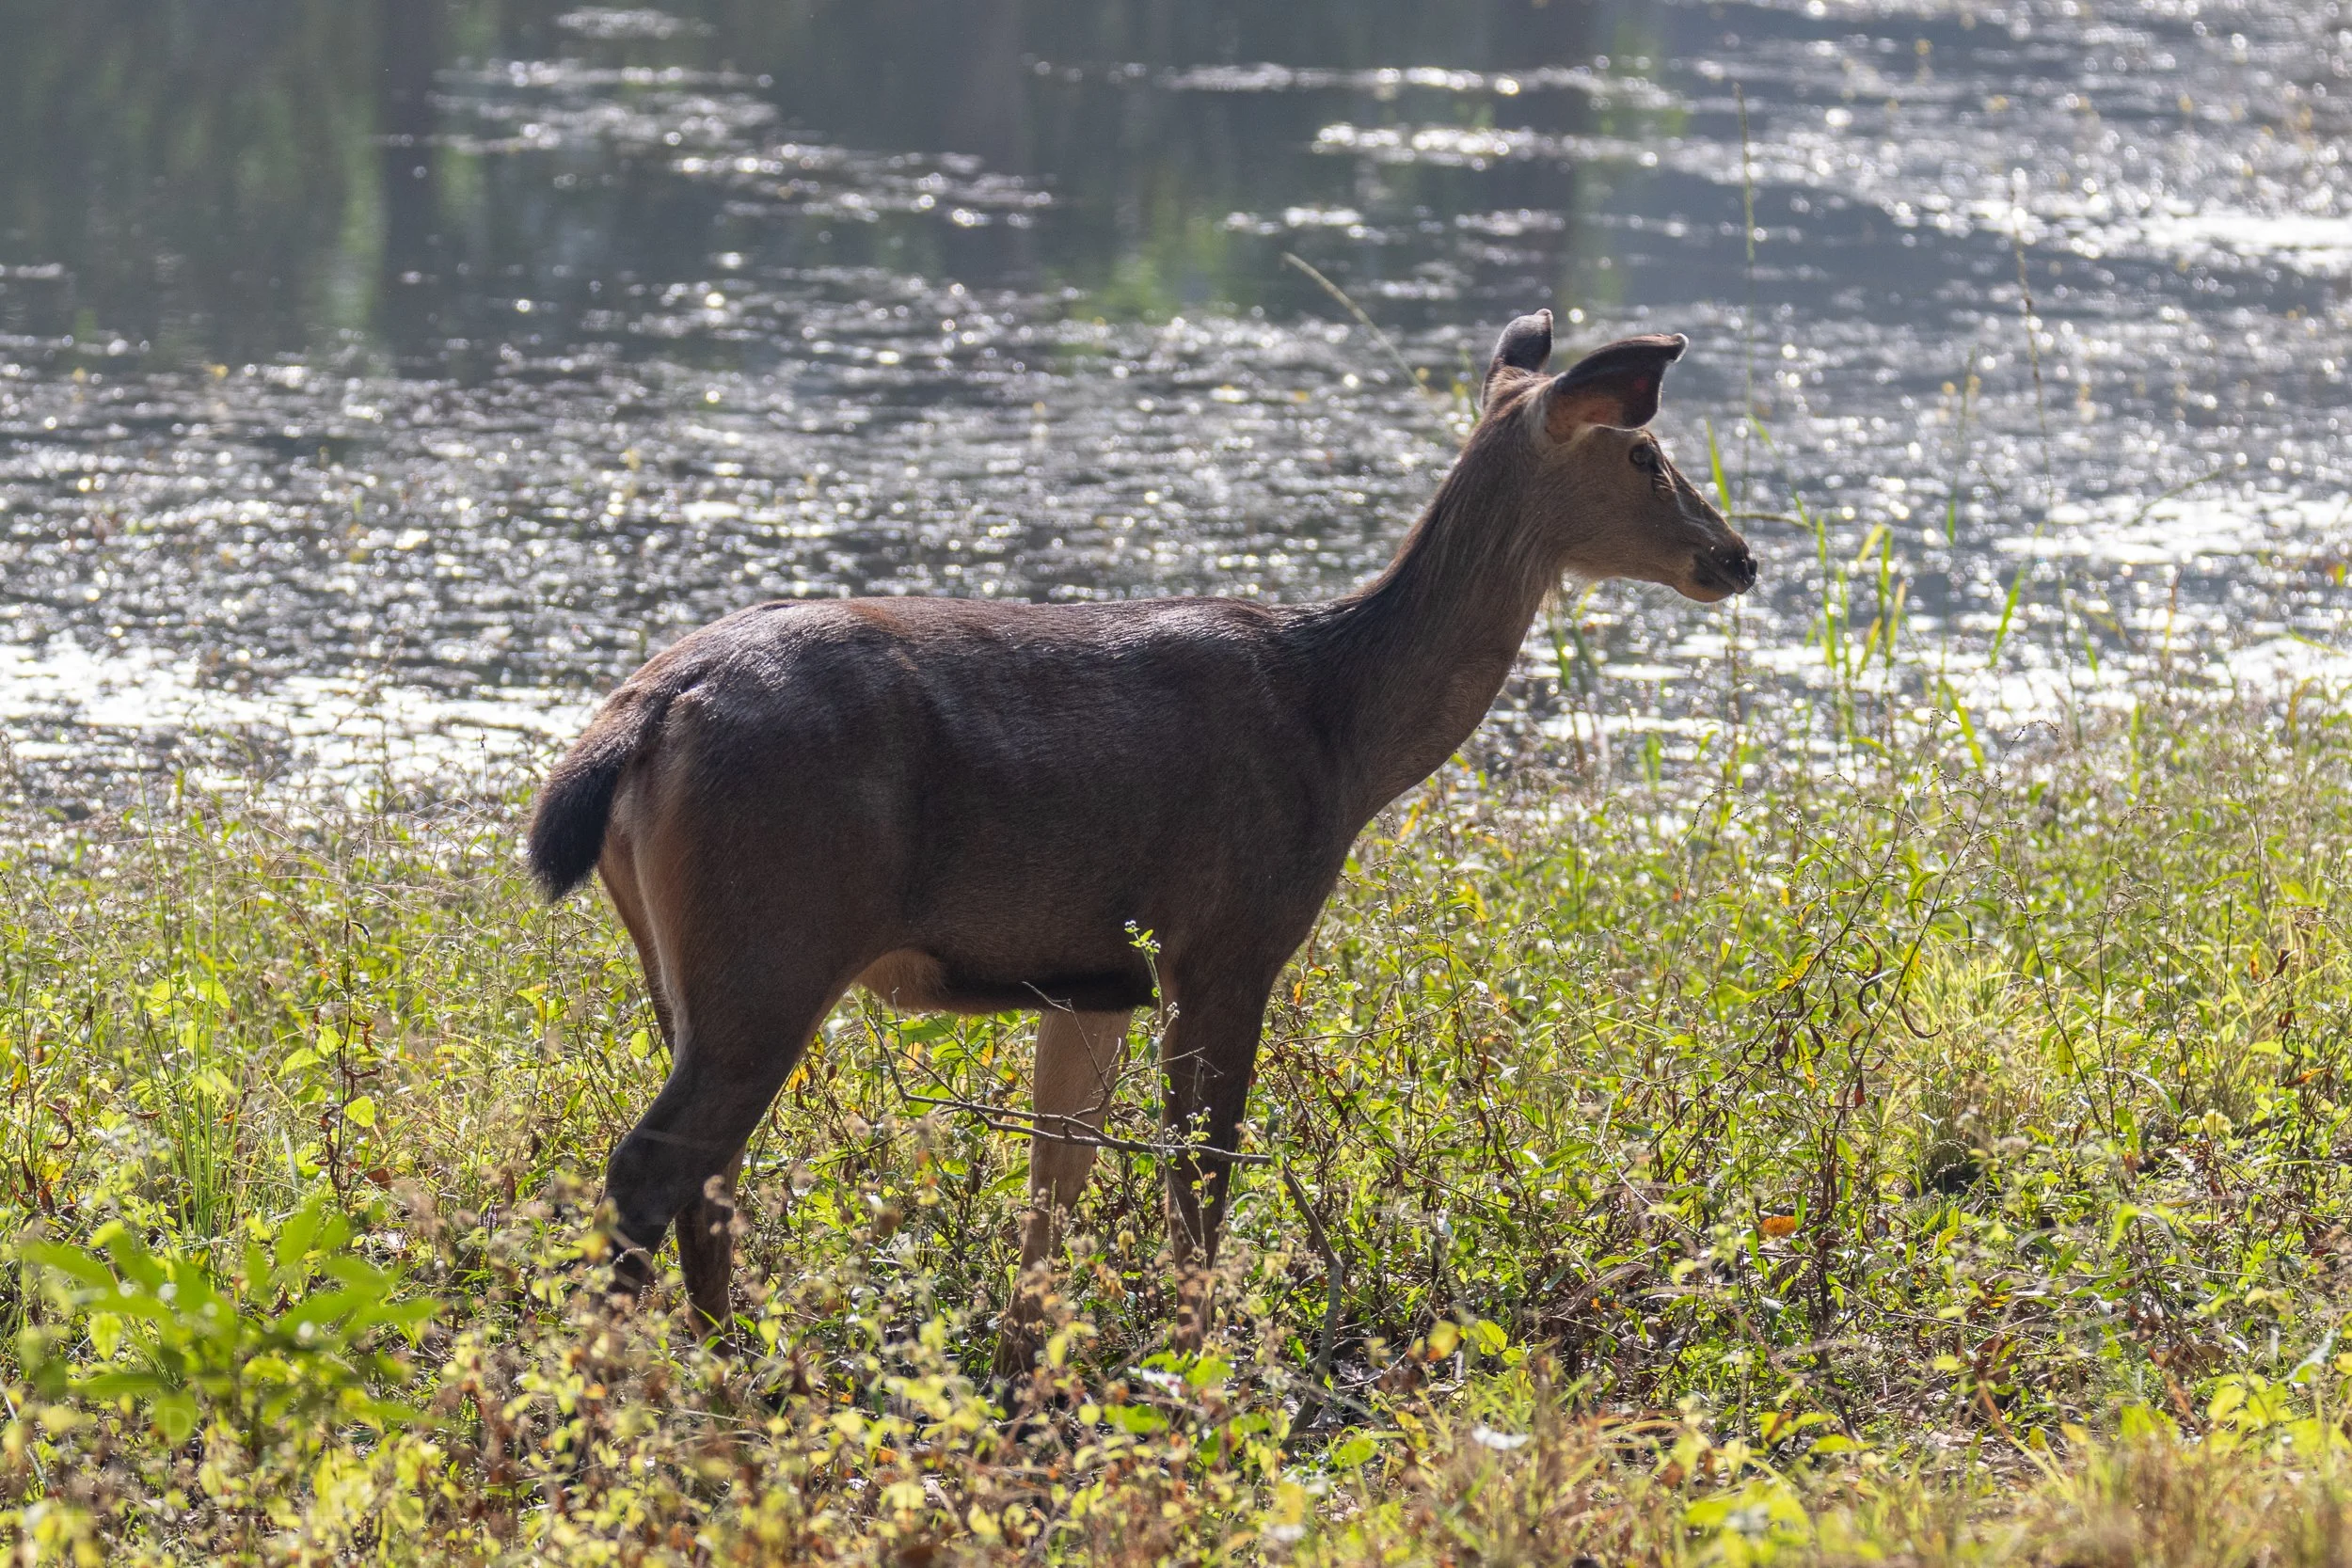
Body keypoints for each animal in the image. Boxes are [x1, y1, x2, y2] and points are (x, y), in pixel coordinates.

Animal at [526, 308, 1755, 1372]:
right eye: (1645, 453)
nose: (1737, 556)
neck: (1340, 728)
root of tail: (646, 709)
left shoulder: (1093, 977)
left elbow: (1054, 1176)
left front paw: (1026, 1358)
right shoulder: (1226, 939)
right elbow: (1196, 1172)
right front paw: (1199, 1356)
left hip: (680, 963)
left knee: (707, 1174)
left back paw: (730, 1361)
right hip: (774, 933)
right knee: (653, 1166)